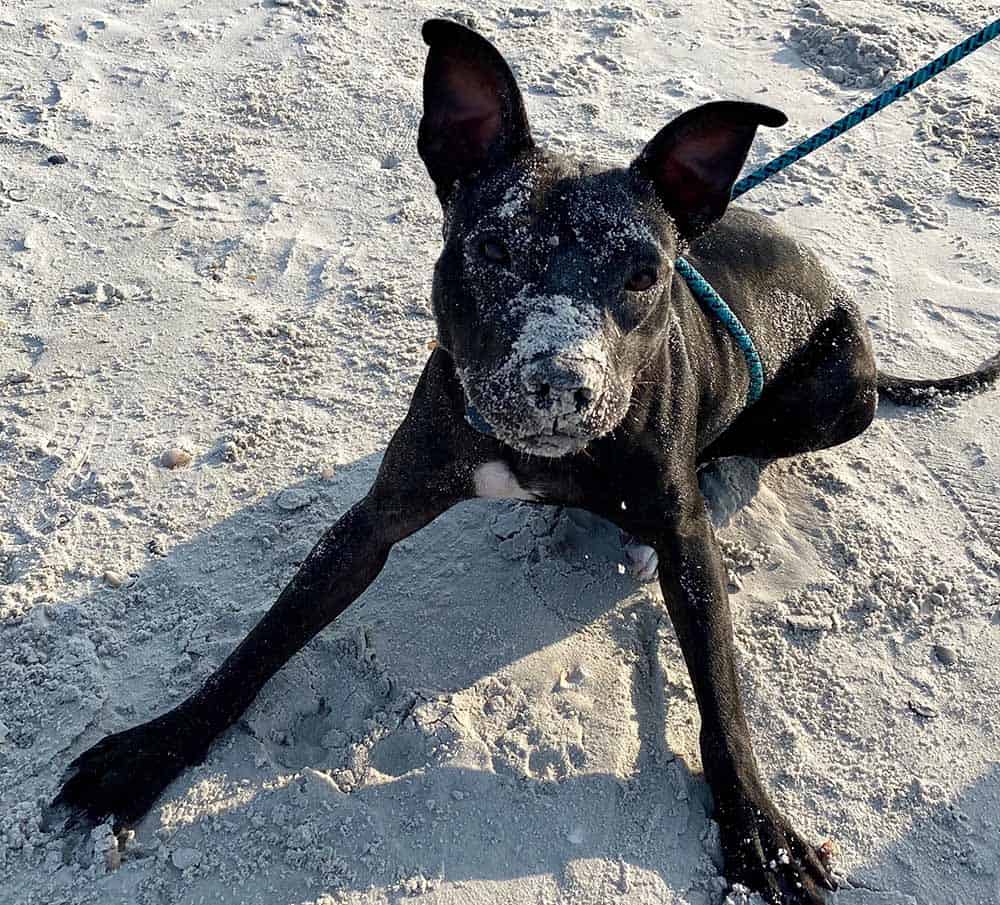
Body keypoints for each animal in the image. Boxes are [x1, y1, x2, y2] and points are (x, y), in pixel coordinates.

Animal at [47, 21, 1000, 904]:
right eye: (495, 250)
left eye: (644, 272)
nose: (558, 384)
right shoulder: (370, 523)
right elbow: (262, 639)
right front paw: (153, 747)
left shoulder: (692, 550)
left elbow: (724, 698)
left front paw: (759, 828)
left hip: (841, 400)